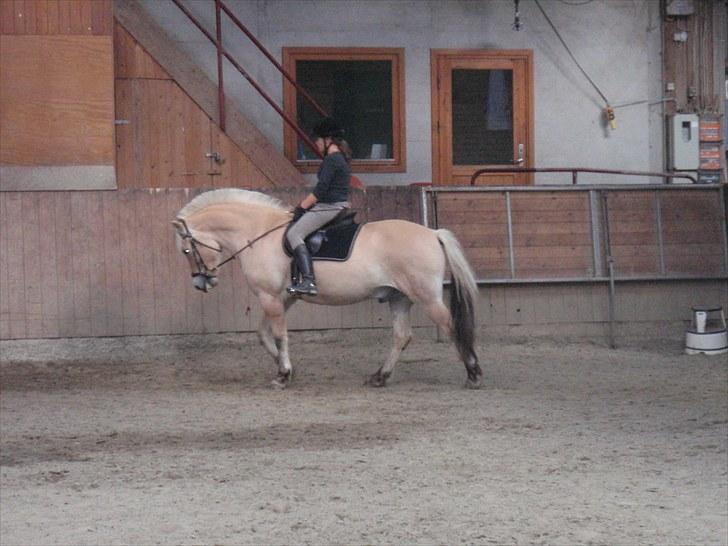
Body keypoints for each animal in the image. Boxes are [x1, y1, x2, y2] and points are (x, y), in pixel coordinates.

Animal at [172, 187, 484, 386]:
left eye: (187, 250)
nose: (202, 282)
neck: (258, 233)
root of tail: (433, 233)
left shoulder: (269, 296)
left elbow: (280, 335)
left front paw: (283, 374)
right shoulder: (282, 297)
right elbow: (264, 334)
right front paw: (284, 367)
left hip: (427, 297)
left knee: (451, 326)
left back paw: (473, 373)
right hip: (399, 298)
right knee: (401, 336)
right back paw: (380, 377)